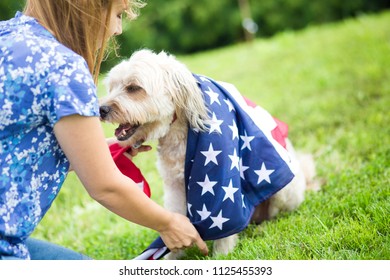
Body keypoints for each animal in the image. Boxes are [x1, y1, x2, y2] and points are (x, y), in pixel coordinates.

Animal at [99, 49, 318, 260]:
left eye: (133, 88)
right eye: (111, 87)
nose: (101, 109)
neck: (177, 133)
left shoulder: (224, 186)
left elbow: (226, 224)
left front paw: (222, 254)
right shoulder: (174, 185)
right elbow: (174, 220)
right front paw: (171, 256)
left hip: (285, 189)